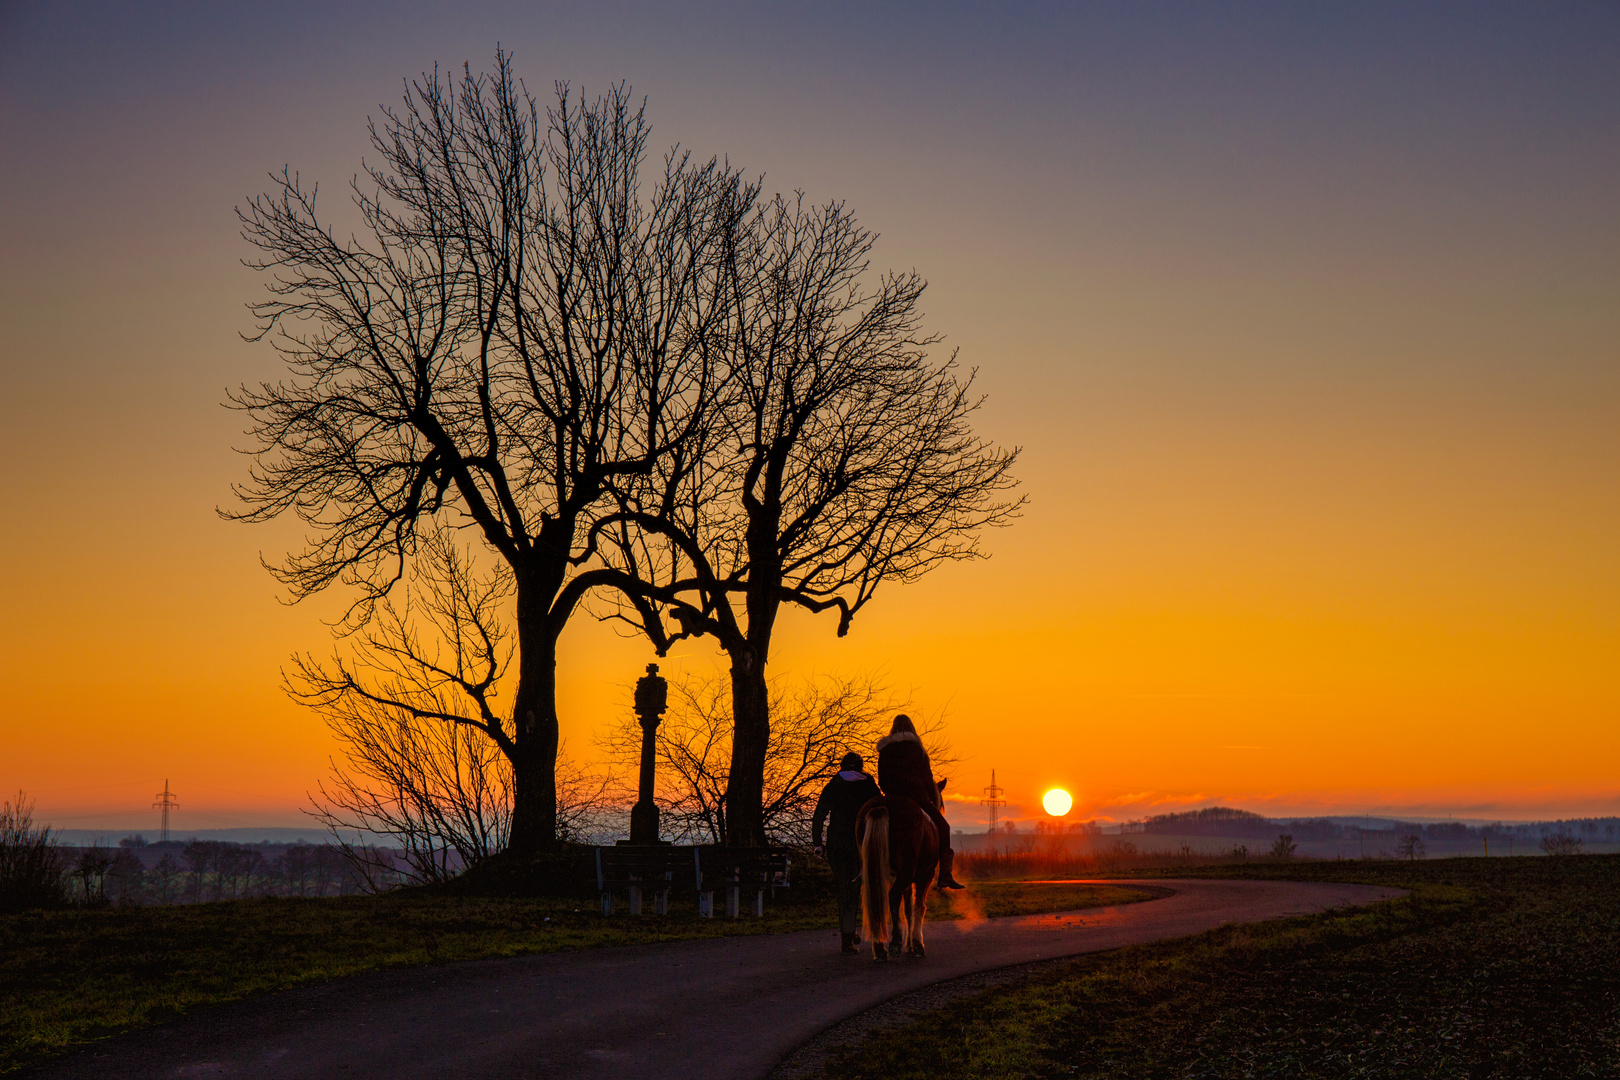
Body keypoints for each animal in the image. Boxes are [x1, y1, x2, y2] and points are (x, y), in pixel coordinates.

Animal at [855, 786, 946, 965]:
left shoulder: (906, 879)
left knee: (876, 902)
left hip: (876, 870)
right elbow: (919, 906)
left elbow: (908, 909)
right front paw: (917, 945)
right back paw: (895, 942)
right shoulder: (925, 875)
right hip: (907, 871)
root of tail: (882, 805)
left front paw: (910, 945)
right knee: (893, 897)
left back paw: (879, 950)